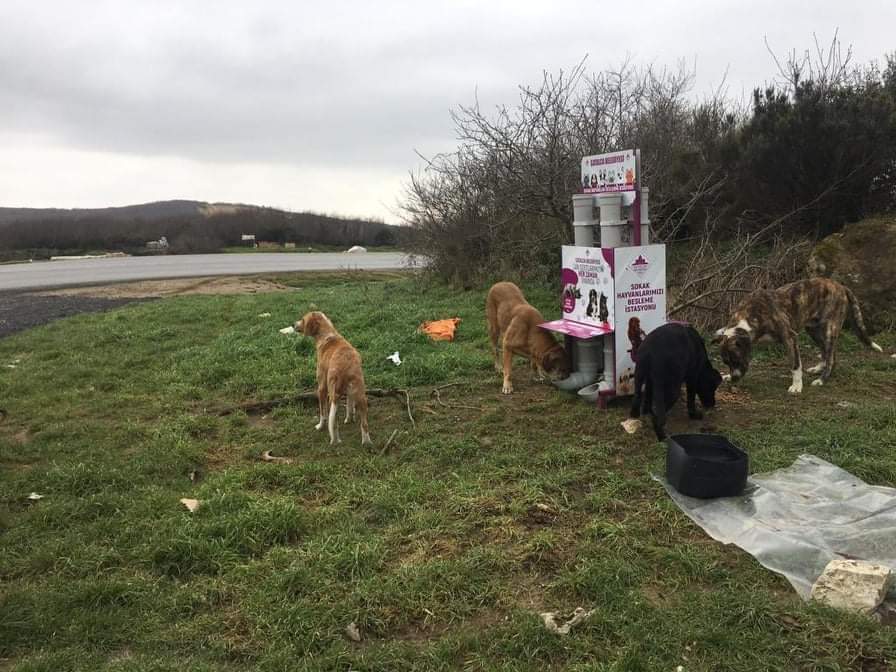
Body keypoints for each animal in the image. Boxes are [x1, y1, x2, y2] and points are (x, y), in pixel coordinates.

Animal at [294, 312, 372, 446]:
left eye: (303, 320)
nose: (293, 324)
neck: (328, 336)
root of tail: (345, 367)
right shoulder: (350, 394)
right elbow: (350, 407)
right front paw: (349, 419)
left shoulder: (321, 388)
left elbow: (323, 413)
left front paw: (320, 426)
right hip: (361, 395)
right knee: (364, 424)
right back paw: (366, 442)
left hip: (332, 395)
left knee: (334, 424)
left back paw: (334, 440)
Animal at [712, 276, 880, 394]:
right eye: (727, 363)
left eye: (736, 359)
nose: (734, 378)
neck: (750, 316)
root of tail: (841, 286)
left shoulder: (790, 338)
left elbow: (795, 365)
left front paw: (797, 386)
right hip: (813, 330)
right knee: (826, 352)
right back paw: (819, 368)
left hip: (829, 329)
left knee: (831, 356)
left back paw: (822, 379)